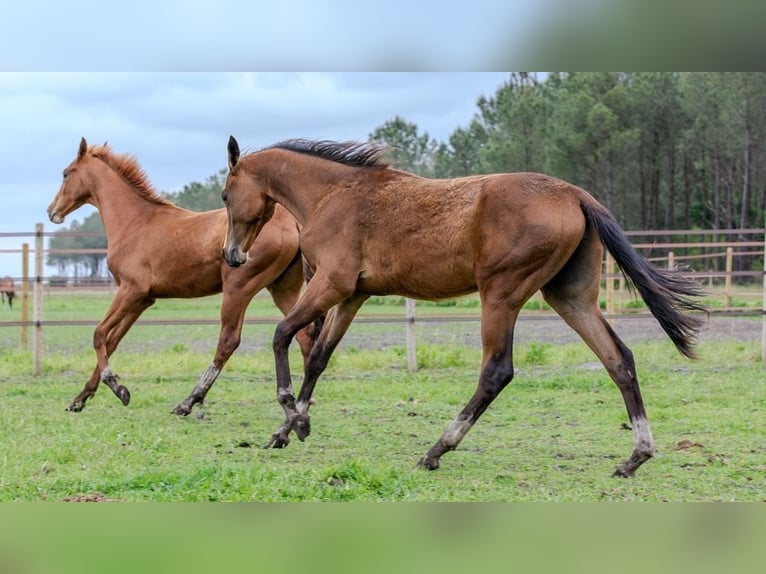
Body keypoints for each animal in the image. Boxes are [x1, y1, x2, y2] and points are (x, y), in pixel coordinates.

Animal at [47, 138, 318, 414]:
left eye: (66, 173)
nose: (52, 211)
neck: (135, 222)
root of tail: (292, 223)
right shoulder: (143, 300)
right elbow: (112, 341)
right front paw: (81, 398)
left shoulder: (130, 290)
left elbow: (99, 334)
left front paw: (117, 387)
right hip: (282, 289)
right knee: (303, 334)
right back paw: (303, 402)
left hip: (239, 288)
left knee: (229, 340)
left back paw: (189, 401)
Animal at [218, 137, 708, 480]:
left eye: (224, 195)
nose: (231, 255)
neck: (334, 193)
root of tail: (574, 194)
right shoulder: (351, 295)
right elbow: (319, 357)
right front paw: (289, 429)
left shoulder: (331, 284)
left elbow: (282, 335)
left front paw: (291, 415)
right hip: (569, 297)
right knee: (617, 359)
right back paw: (635, 457)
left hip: (501, 293)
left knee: (496, 372)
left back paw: (436, 451)